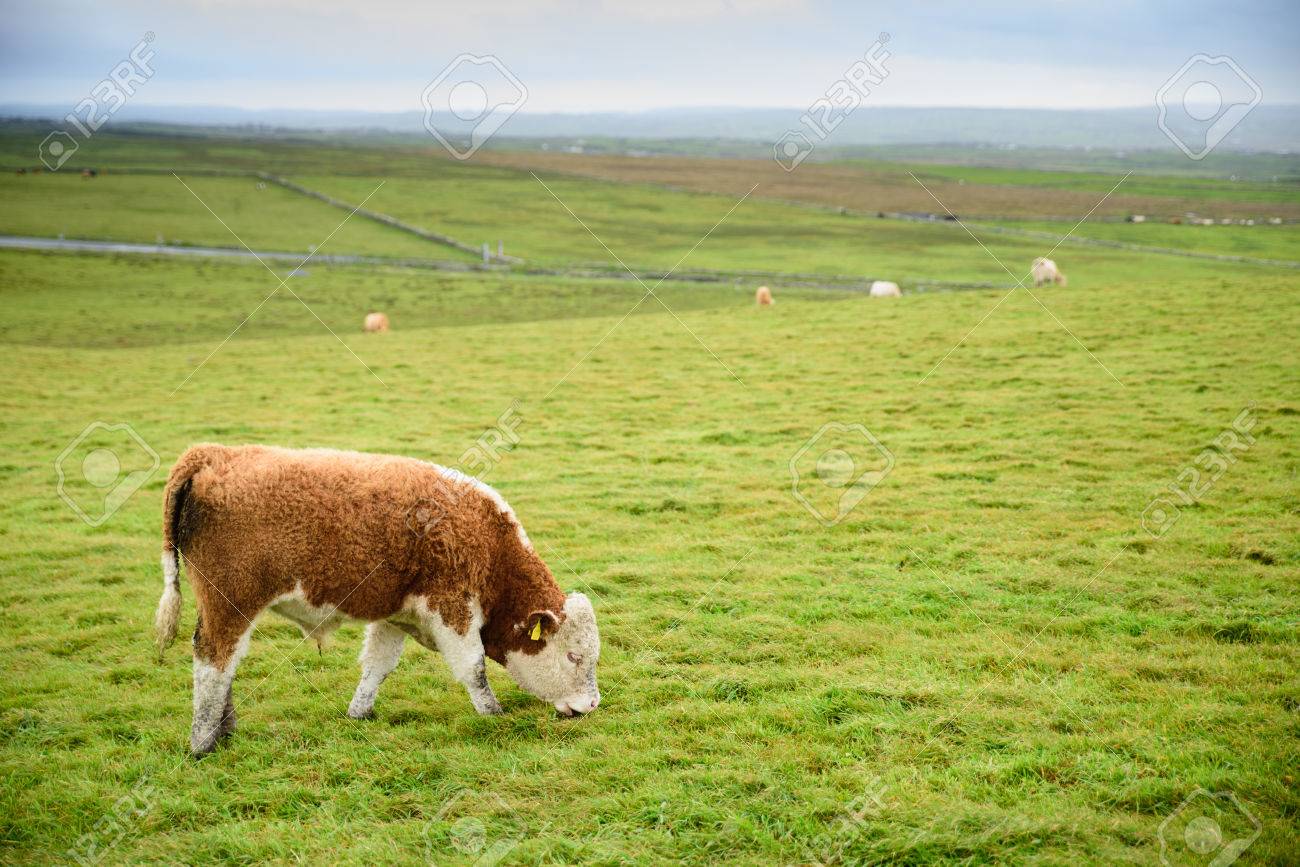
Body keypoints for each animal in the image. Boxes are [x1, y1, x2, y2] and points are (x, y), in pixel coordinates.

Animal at [154, 444, 601, 756]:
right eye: (574, 656)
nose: (591, 706)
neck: (488, 543)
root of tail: (211, 454)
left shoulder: (394, 615)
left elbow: (378, 666)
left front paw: (360, 713)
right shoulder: (453, 609)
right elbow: (474, 669)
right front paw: (493, 715)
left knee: (226, 664)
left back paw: (224, 730)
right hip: (229, 605)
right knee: (214, 660)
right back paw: (203, 743)